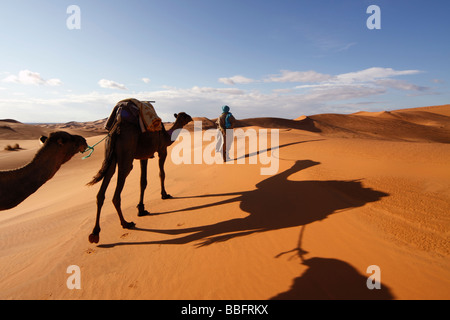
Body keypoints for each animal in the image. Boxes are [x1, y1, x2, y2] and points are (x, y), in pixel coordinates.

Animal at [87, 111, 192, 244]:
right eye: (185, 116)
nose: (191, 118)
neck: (166, 135)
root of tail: (116, 129)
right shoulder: (162, 149)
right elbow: (161, 174)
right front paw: (165, 195)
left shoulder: (144, 156)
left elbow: (143, 181)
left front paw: (141, 209)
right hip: (126, 154)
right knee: (117, 191)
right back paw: (126, 223)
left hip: (110, 153)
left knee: (103, 187)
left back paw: (95, 233)